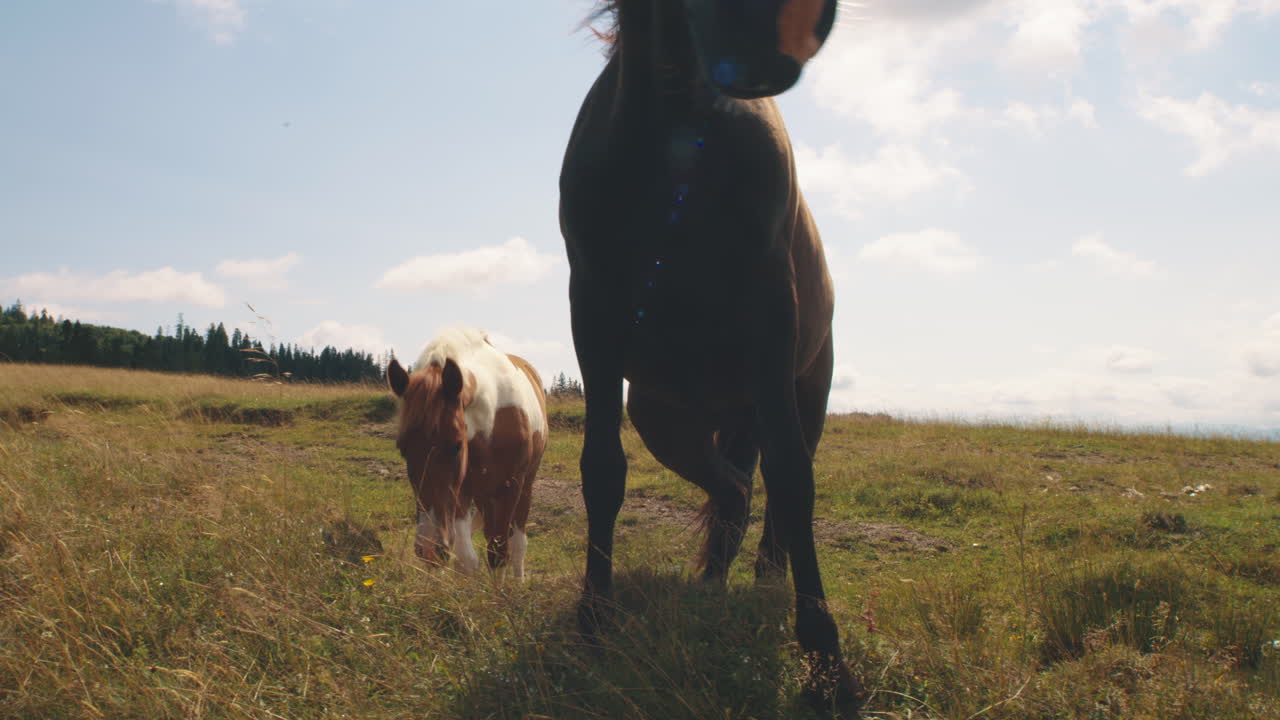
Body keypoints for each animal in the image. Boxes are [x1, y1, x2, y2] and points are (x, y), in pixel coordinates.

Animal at [386, 328, 547, 579]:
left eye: (456, 446)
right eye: (403, 449)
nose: (428, 548)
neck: (492, 420)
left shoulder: (510, 487)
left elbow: (499, 552)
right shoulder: (461, 492)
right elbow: (467, 559)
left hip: (524, 485)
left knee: (518, 542)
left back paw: (518, 578)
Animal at [559, 0, 860, 713]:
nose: (766, 37)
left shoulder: (771, 311)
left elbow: (793, 479)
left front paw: (826, 662)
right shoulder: (592, 317)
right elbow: (602, 471)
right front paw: (593, 623)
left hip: (799, 392)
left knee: (770, 486)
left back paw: (765, 582)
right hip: (668, 421)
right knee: (732, 490)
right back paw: (712, 584)